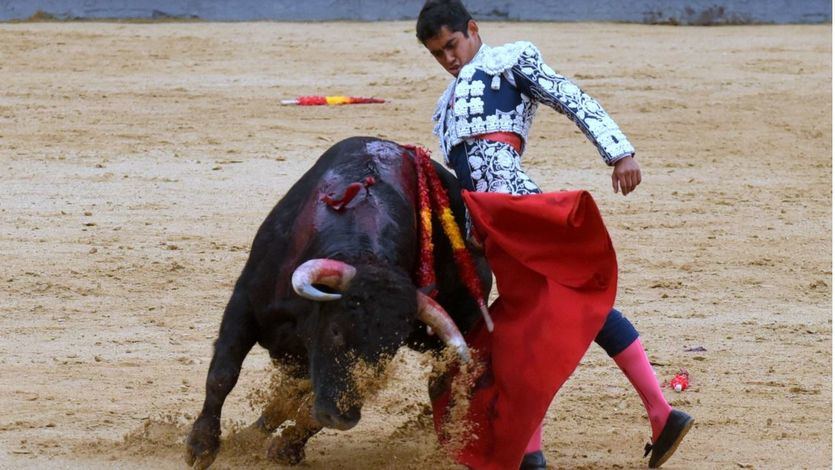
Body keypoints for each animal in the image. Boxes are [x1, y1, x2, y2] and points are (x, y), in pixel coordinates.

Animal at [185, 135, 490, 466]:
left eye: (390, 348)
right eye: (335, 331)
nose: (343, 418)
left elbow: (303, 403)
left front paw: (284, 445)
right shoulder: (244, 302)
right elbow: (223, 374)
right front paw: (201, 447)